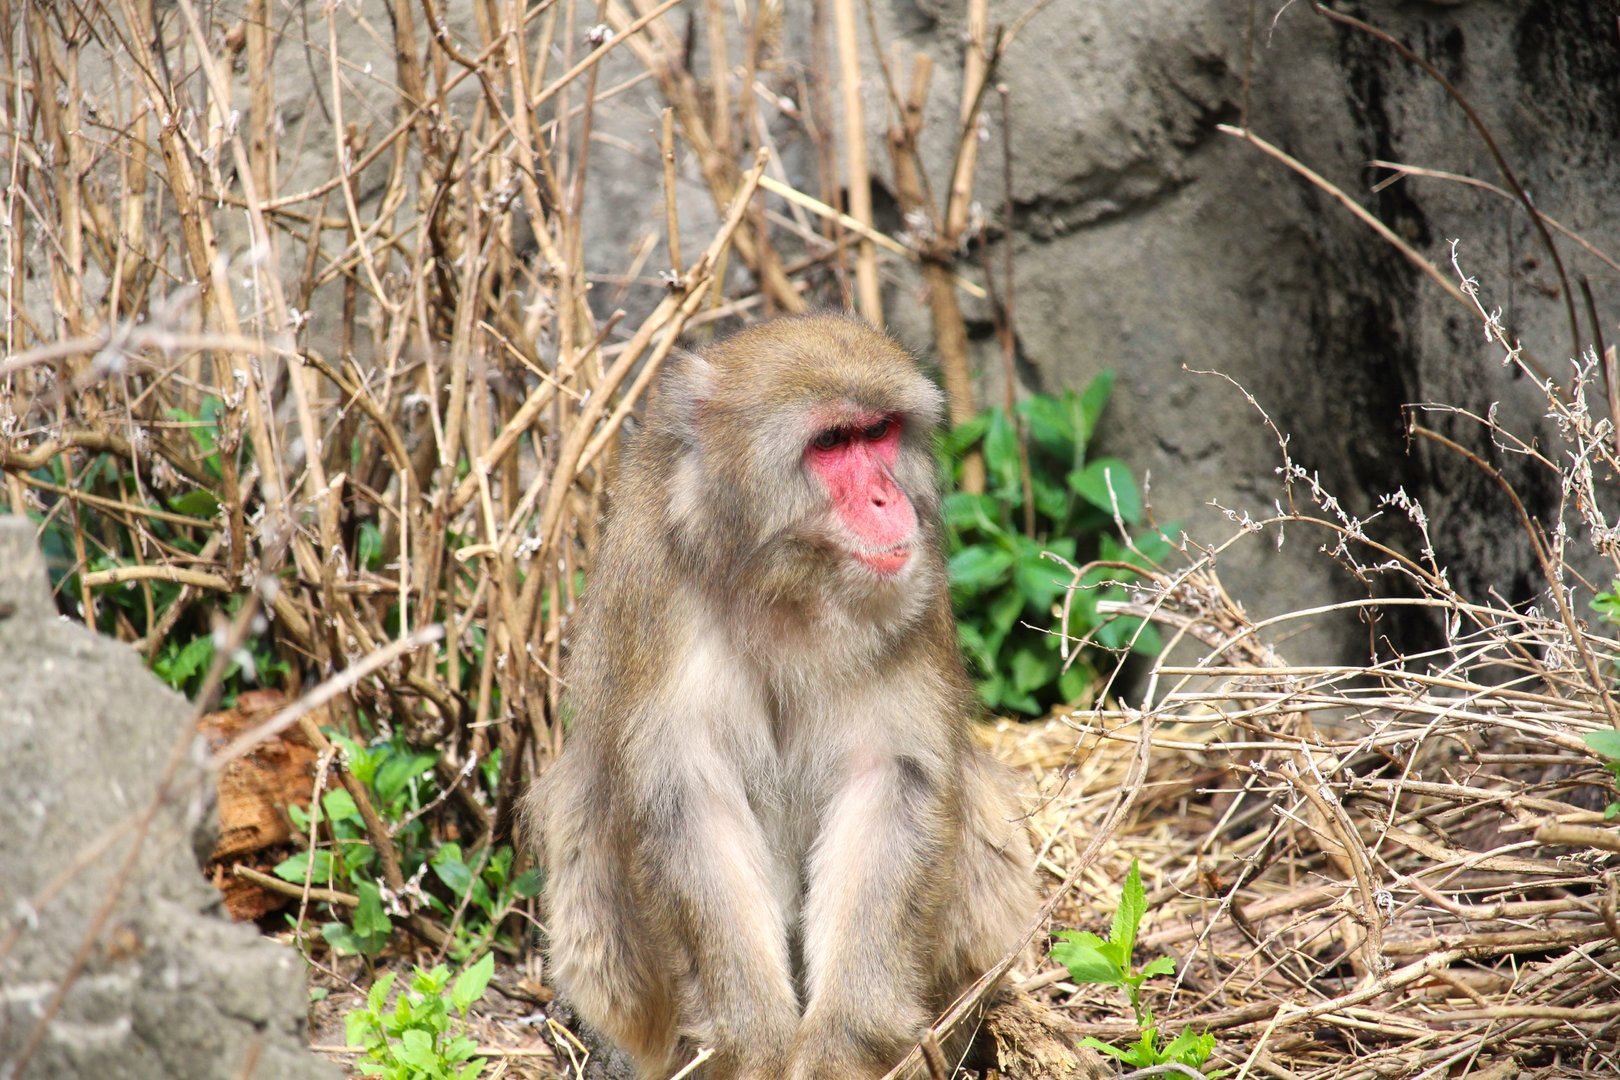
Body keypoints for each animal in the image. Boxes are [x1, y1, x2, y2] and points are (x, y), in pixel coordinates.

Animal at [525, 313, 1036, 1080]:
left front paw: (840, 1047)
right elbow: (687, 798)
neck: (787, 587)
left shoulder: (911, 596)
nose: (888, 498)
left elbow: (893, 782)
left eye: (879, 432)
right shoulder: (657, 594)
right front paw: (756, 1043)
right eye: (831, 443)